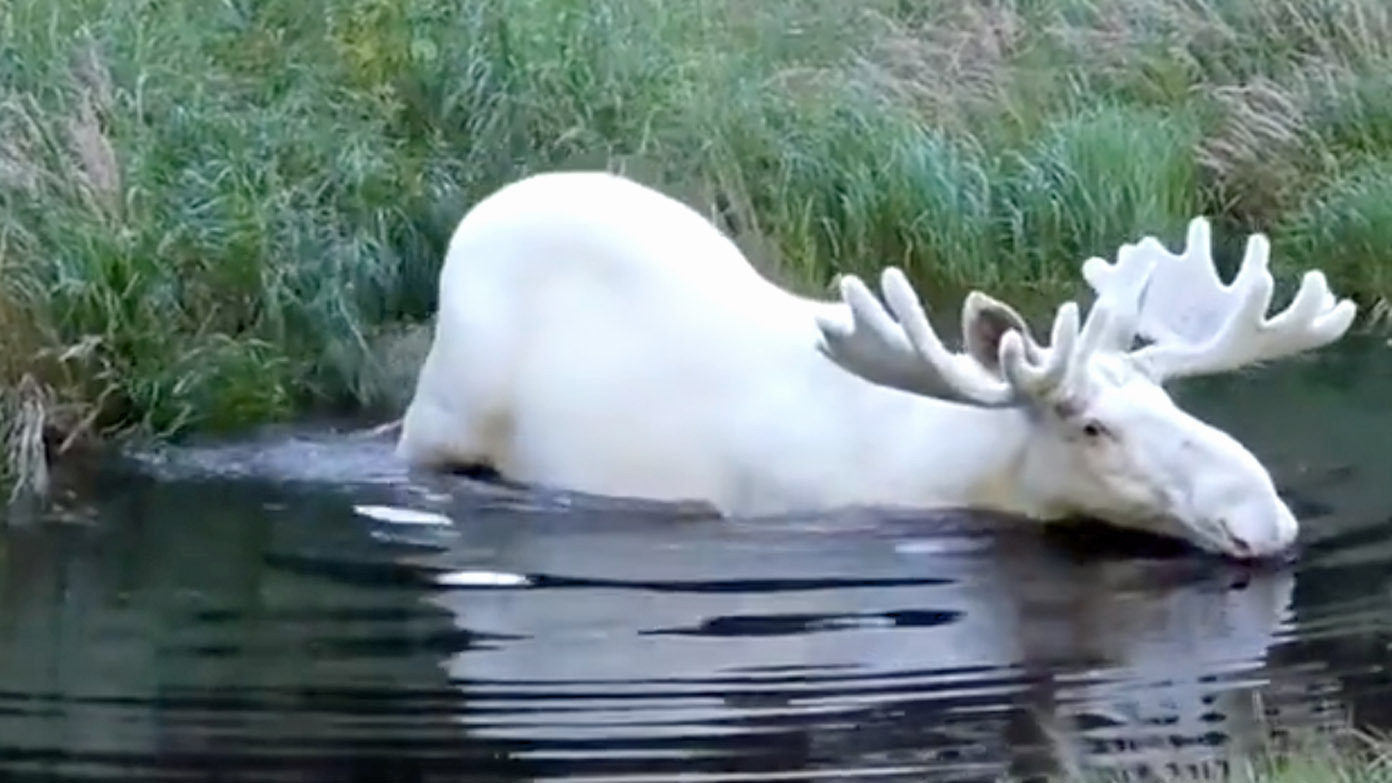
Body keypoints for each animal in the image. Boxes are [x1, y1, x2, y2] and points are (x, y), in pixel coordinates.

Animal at [394, 170, 1357, 561]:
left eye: (1170, 399)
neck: (972, 468)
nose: (1263, 518)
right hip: (435, 419)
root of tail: (479, 213)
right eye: (1091, 425)